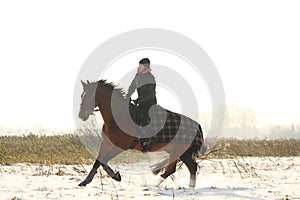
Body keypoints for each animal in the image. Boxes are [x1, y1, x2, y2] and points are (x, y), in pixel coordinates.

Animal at [77, 79, 205, 188]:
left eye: (89, 96)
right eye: (82, 96)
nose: (81, 115)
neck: (117, 118)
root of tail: (197, 126)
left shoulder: (120, 146)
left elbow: (104, 160)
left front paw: (116, 176)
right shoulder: (106, 143)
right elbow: (98, 161)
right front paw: (85, 182)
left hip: (178, 150)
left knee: (173, 169)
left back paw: (154, 184)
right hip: (181, 152)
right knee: (190, 167)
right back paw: (190, 187)